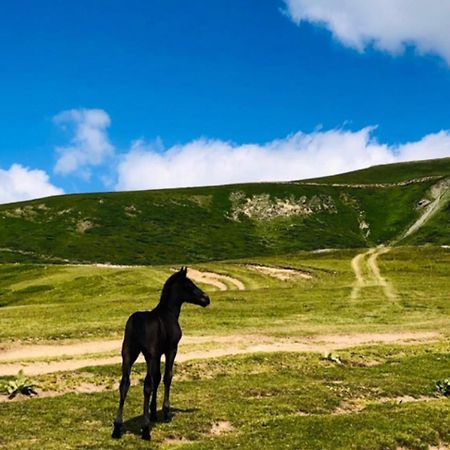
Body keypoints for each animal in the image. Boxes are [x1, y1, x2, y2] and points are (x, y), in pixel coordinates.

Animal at [112, 268, 211, 440]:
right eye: (189, 285)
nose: (206, 299)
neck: (169, 313)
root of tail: (136, 323)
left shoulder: (158, 354)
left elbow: (157, 378)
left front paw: (153, 412)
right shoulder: (171, 349)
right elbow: (167, 377)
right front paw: (165, 412)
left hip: (128, 354)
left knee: (124, 383)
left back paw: (117, 427)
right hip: (148, 356)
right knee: (146, 385)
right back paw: (145, 429)